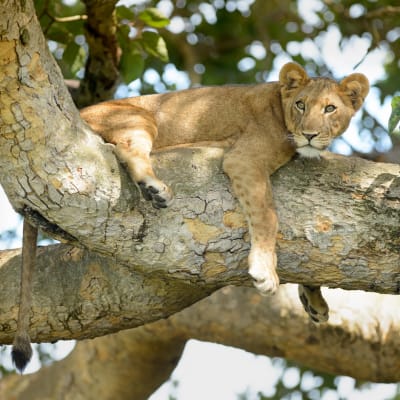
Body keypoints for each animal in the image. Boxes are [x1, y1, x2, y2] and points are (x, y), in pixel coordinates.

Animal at [11, 61, 368, 372]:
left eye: (330, 109)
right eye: (301, 105)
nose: (309, 135)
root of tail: (78, 113)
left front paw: (314, 301)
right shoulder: (244, 160)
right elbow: (268, 216)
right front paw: (265, 271)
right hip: (138, 117)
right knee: (126, 150)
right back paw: (154, 188)